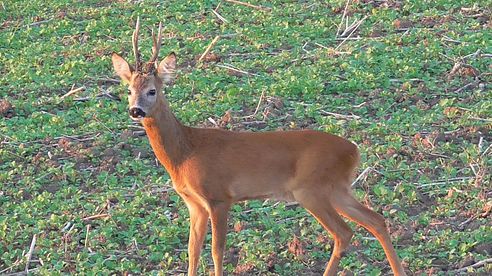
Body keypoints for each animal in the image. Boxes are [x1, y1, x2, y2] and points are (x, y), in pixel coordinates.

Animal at [112, 18, 408, 274]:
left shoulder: (219, 197)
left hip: (312, 189)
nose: (135, 110)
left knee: (344, 232)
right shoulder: (193, 203)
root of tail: (354, 150)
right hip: (337, 188)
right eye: (129, 90)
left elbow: (216, 250)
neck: (185, 152)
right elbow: (192, 250)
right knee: (375, 220)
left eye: (152, 90)